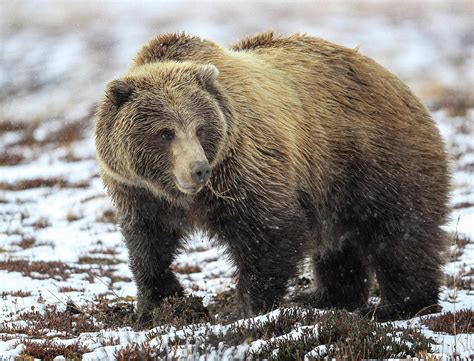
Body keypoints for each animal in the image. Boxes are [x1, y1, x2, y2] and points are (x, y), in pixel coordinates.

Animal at [94, 32, 450, 322]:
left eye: (200, 128)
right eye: (165, 132)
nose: (198, 168)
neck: (185, 196)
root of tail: (398, 82)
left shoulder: (245, 167)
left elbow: (269, 232)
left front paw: (248, 308)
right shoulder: (138, 191)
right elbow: (148, 243)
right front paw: (158, 304)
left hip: (376, 160)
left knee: (401, 234)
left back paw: (400, 305)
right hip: (334, 186)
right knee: (339, 247)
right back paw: (327, 298)